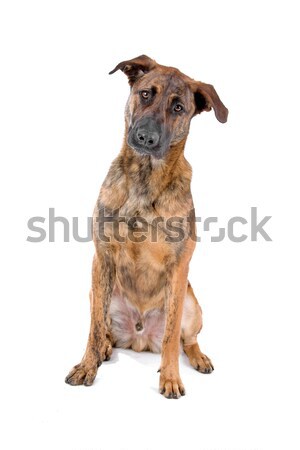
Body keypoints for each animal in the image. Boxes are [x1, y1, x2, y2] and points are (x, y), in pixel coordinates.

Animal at [65, 55, 227, 398]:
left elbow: (171, 336)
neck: (144, 177)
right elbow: (93, 328)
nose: (146, 138)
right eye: (145, 94)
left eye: (178, 107)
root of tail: (139, 338)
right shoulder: (102, 258)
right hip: (97, 290)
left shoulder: (179, 268)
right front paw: (87, 365)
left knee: (186, 338)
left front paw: (171, 377)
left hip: (192, 304)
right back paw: (105, 349)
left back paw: (197, 357)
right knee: (103, 328)